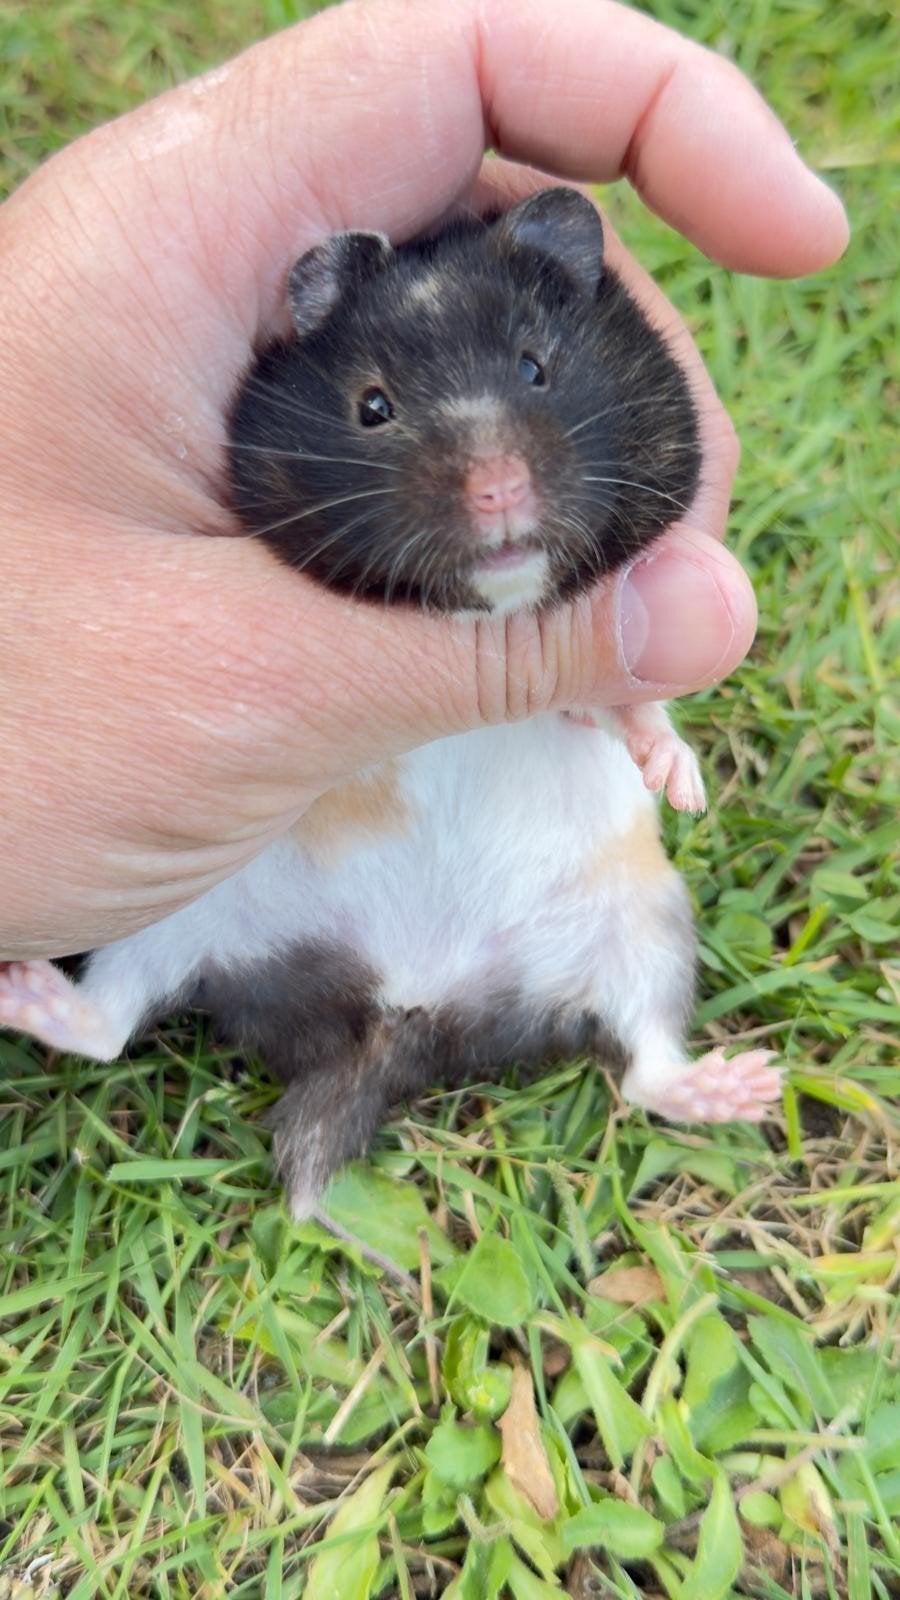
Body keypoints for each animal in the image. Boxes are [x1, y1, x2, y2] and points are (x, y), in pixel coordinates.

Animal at [0, 188, 780, 1219]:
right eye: (373, 407)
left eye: (537, 368)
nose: (498, 491)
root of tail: (404, 1009)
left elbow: (623, 711)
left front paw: (682, 784)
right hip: (178, 916)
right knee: (110, 1022)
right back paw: (24, 991)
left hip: (648, 928)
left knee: (647, 1064)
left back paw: (748, 1087)